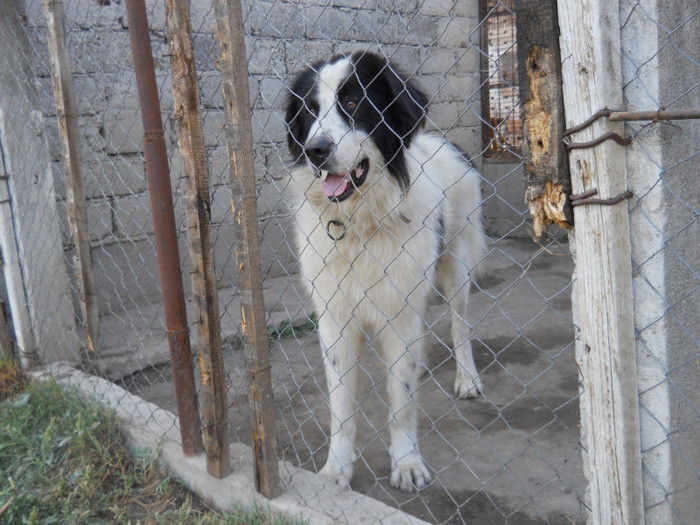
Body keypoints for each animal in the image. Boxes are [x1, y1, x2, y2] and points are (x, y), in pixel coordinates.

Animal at [284, 50, 486, 492]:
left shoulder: (401, 315)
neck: (360, 224)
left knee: (461, 325)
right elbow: (341, 406)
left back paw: (467, 378)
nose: (315, 149)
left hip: (457, 266)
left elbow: (401, 397)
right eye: (310, 111)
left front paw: (407, 461)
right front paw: (336, 470)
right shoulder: (335, 318)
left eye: (354, 102)